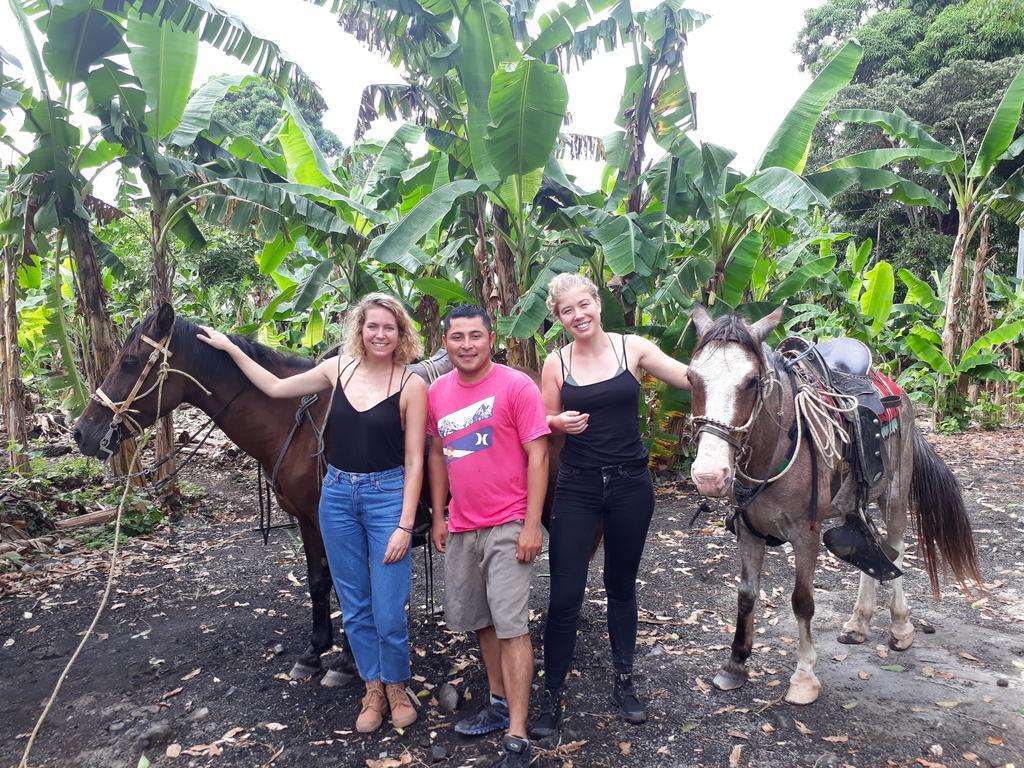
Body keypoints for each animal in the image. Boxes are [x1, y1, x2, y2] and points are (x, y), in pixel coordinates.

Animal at [684, 309, 978, 708]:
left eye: (752, 381)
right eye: (691, 377)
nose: (709, 475)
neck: (775, 448)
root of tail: (896, 389)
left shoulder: (804, 533)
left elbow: (802, 601)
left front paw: (804, 677)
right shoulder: (749, 531)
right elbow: (746, 594)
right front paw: (735, 665)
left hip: (895, 495)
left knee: (896, 550)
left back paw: (901, 627)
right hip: (854, 503)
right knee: (873, 551)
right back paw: (858, 623)